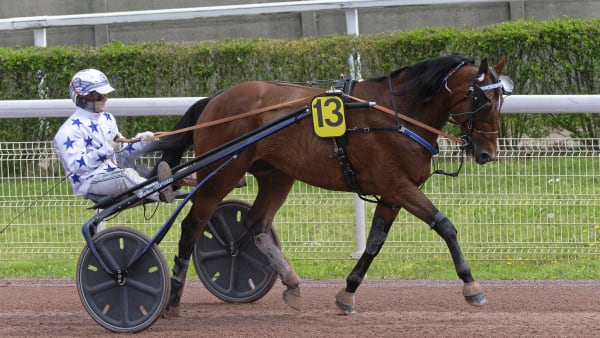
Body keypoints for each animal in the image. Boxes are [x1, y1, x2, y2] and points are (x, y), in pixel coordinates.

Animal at [149, 54, 506, 316]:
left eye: (502, 100)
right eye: (484, 100)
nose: (488, 153)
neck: (395, 115)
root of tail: (215, 99)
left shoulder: (392, 194)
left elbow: (374, 243)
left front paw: (348, 292)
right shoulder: (397, 185)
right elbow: (445, 226)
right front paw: (472, 286)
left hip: (276, 176)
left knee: (256, 223)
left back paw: (292, 283)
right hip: (220, 173)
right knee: (192, 226)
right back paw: (173, 298)